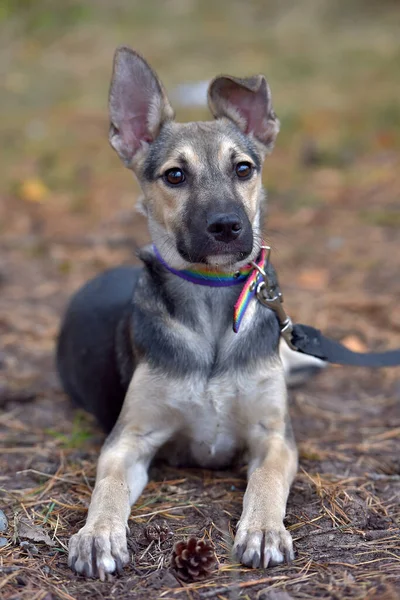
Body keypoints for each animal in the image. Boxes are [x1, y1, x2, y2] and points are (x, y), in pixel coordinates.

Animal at [57, 48, 324, 580]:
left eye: (243, 169)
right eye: (175, 175)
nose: (227, 226)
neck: (213, 305)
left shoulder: (274, 437)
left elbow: (266, 481)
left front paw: (263, 529)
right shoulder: (129, 439)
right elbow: (108, 486)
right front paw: (97, 535)